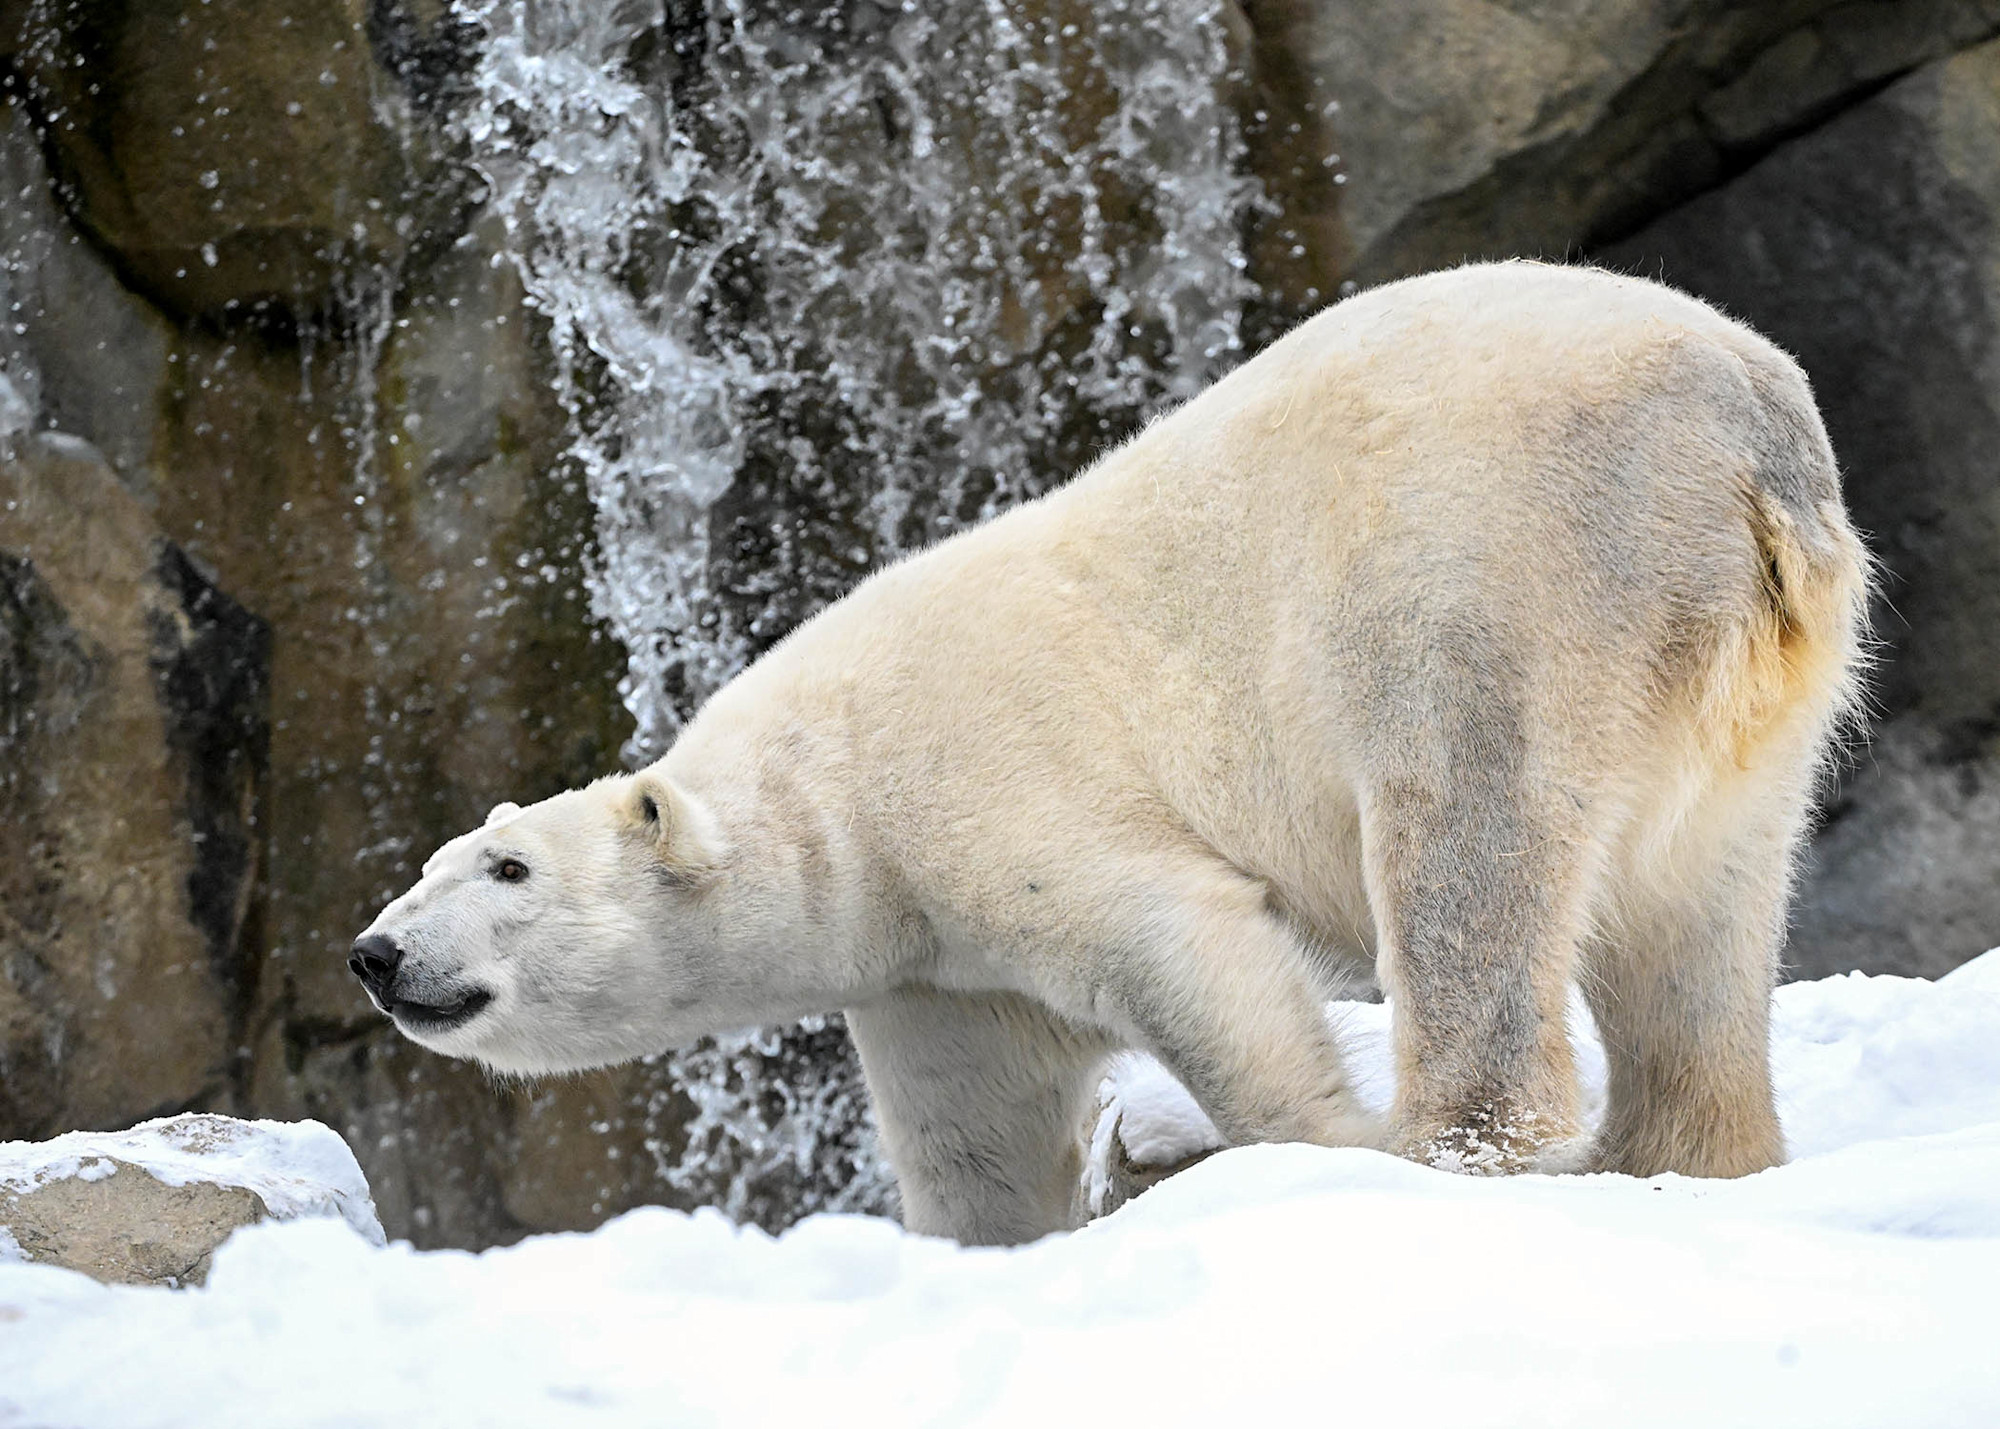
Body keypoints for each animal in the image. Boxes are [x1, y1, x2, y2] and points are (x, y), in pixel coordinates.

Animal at [351, 261, 1870, 1246]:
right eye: (427, 862)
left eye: (505, 868)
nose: (375, 953)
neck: (830, 791)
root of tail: (1747, 432)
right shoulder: (928, 967)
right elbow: (974, 1138)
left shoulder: (983, 790)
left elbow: (1184, 944)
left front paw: (1285, 1153)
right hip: (1750, 684)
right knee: (1696, 912)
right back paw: (1680, 1151)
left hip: (1499, 572)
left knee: (1467, 845)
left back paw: (1444, 1151)